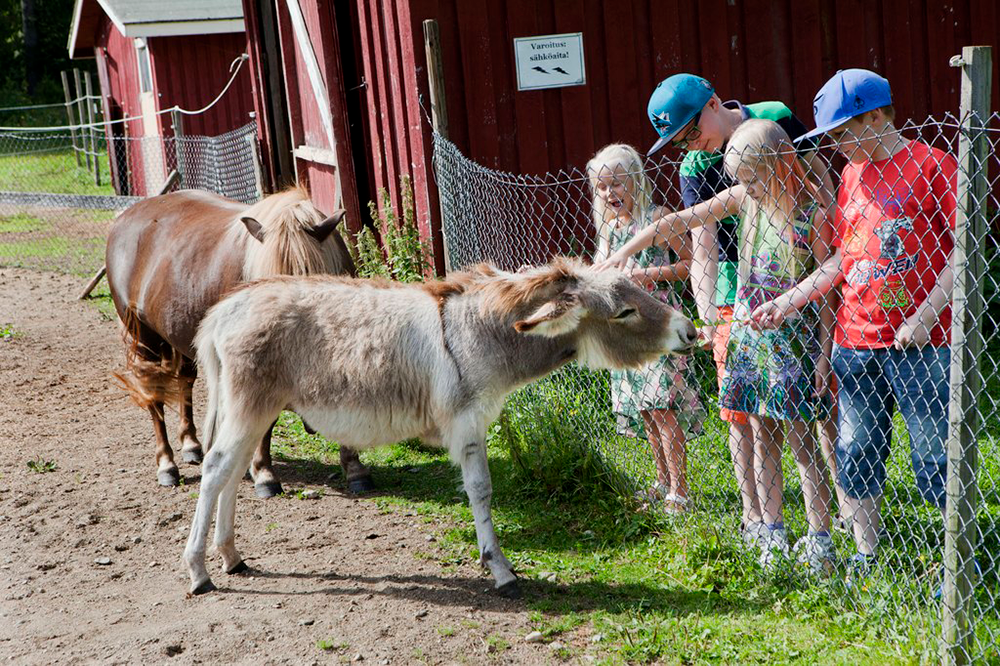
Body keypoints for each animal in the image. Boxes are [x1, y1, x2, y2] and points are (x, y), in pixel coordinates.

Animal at [106, 187, 374, 497]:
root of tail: (126, 217)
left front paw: (354, 467)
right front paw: (264, 474)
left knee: (185, 380)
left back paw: (191, 445)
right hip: (143, 337)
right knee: (154, 397)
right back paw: (167, 464)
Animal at [182, 258, 697, 597]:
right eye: (624, 312)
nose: (690, 331)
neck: (483, 332)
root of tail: (224, 309)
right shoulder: (466, 422)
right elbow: (481, 490)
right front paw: (501, 571)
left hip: (254, 409)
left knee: (232, 472)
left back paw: (232, 557)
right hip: (251, 405)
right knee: (215, 470)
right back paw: (200, 571)